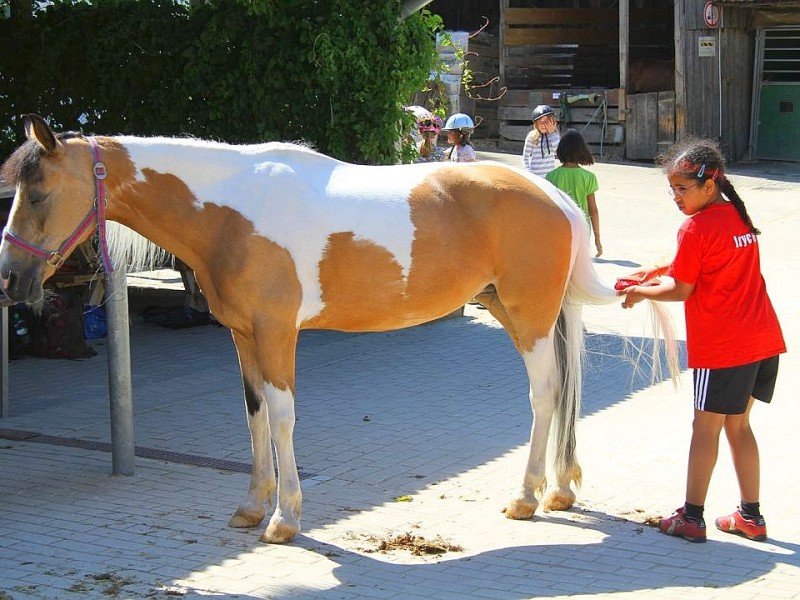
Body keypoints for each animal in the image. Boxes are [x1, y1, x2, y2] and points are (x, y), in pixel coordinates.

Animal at [0, 112, 676, 544]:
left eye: (37, 192)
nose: (10, 280)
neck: (232, 211)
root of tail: (551, 195)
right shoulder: (242, 335)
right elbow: (252, 415)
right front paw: (252, 506)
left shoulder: (277, 333)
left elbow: (281, 417)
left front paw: (285, 519)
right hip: (514, 311)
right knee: (561, 395)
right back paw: (559, 491)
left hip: (529, 315)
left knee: (545, 394)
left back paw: (527, 497)